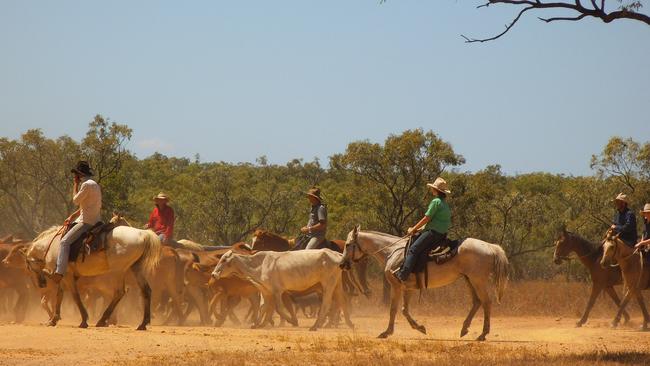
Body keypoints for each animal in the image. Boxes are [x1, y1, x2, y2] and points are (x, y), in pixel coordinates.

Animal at [25, 224, 162, 330]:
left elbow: (75, 296)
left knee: (119, 292)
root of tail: (142, 234)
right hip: (135, 268)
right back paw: (142, 324)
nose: (41, 284)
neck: (52, 245)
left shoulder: (67, 275)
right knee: (146, 291)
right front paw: (54, 319)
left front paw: (83, 320)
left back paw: (102, 320)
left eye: (30, 268)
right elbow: (60, 295)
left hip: (117, 271)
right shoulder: (64, 277)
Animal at [340, 226, 506, 340]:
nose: (342, 264)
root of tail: (490, 247)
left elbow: (393, 309)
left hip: (478, 280)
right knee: (477, 302)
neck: (392, 251)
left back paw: (483, 334)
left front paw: (386, 332)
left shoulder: (396, 286)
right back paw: (464, 329)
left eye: (347, 244)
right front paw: (419, 327)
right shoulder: (409, 288)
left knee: (486, 302)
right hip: (469, 280)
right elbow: (404, 310)